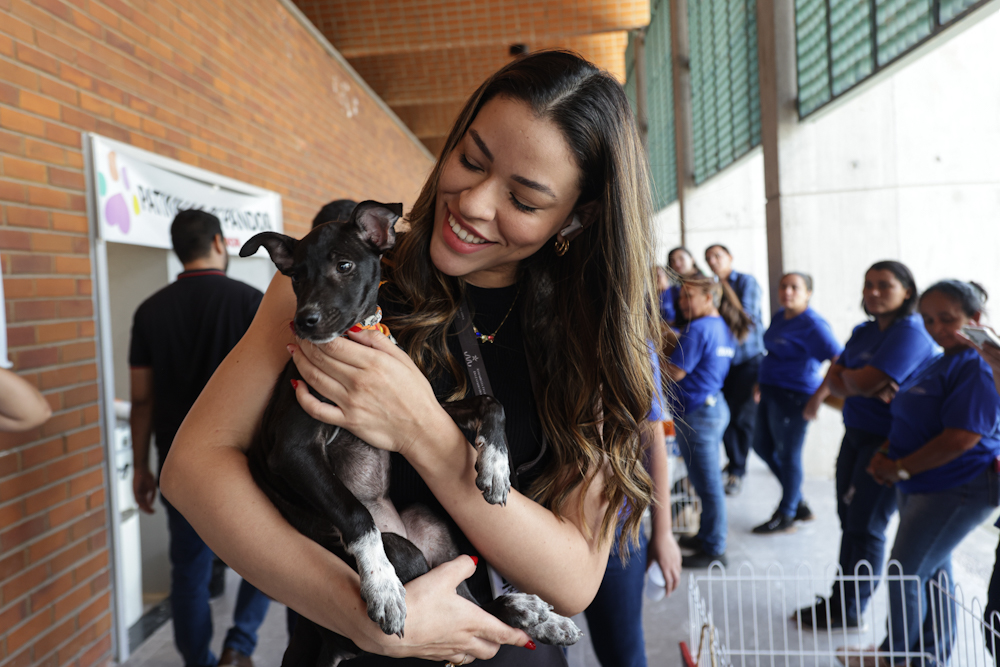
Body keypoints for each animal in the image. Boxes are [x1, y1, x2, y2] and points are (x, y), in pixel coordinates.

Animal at [242, 202, 584, 667]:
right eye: (295, 277)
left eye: (344, 266)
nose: (303, 322)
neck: (360, 340)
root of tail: (334, 643)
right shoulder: (293, 450)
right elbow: (356, 514)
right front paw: (382, 586)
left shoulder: (421, 405)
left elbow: (490, 402)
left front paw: (495, 466)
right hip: (403, 549)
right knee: (450, 601)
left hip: (431, 523)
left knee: (469, 601)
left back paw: (532, 614)